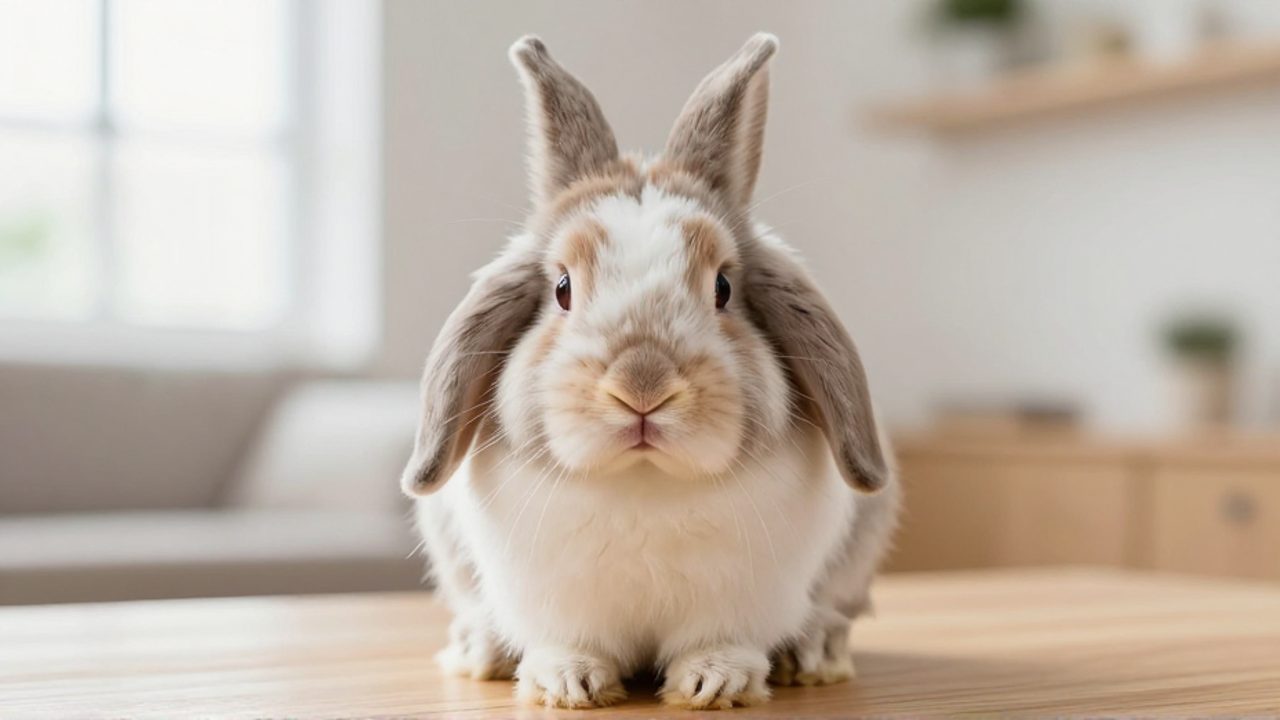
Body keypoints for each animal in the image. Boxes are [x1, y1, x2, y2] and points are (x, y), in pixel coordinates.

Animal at [401, 33, 900, 710]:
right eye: (561, 288)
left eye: (722, 288)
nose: (642, 387)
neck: (644, 483)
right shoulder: (553, 601)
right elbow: (567, 643)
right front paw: (569, 683)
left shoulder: (738, 602)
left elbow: (720, 643)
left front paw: (715, 684)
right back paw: (481, 650)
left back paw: (815, 653)